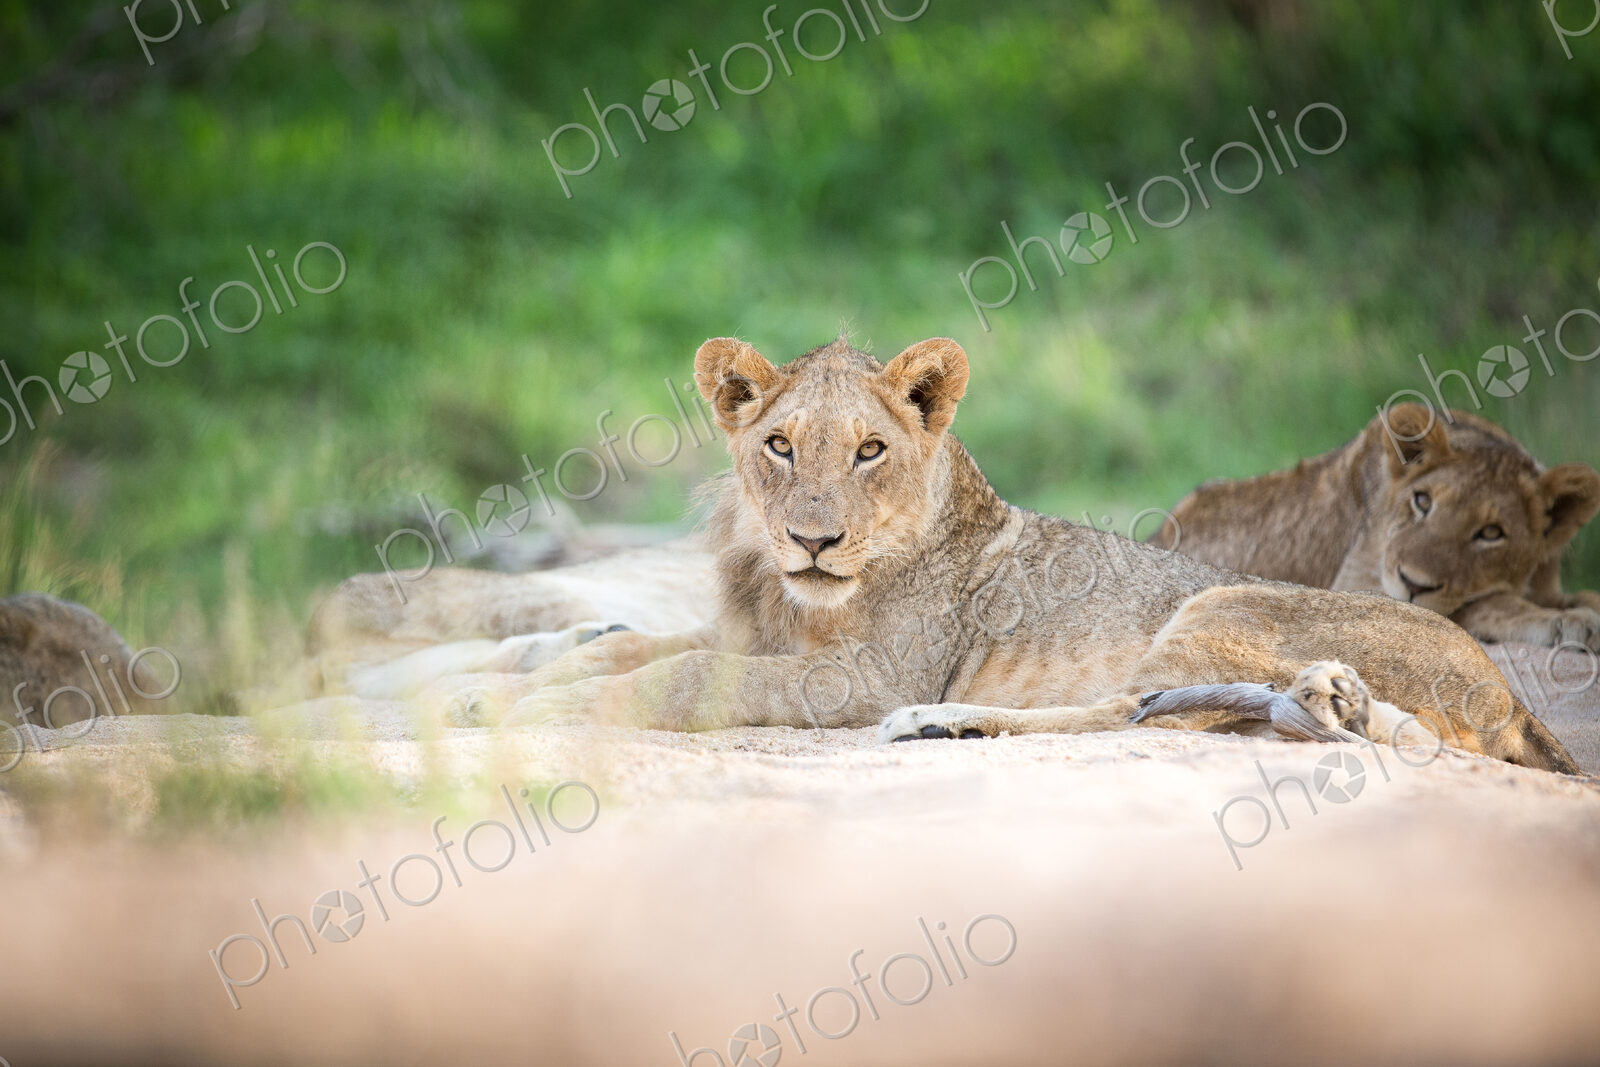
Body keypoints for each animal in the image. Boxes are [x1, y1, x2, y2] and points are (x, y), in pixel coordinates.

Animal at [1149, 405, 1600, 651]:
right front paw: (1572, 622)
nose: (1413, 583)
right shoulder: (1353, 585)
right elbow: (1483, 603)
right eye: (1422, 501)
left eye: (1492, 533)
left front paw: (1578, 608)